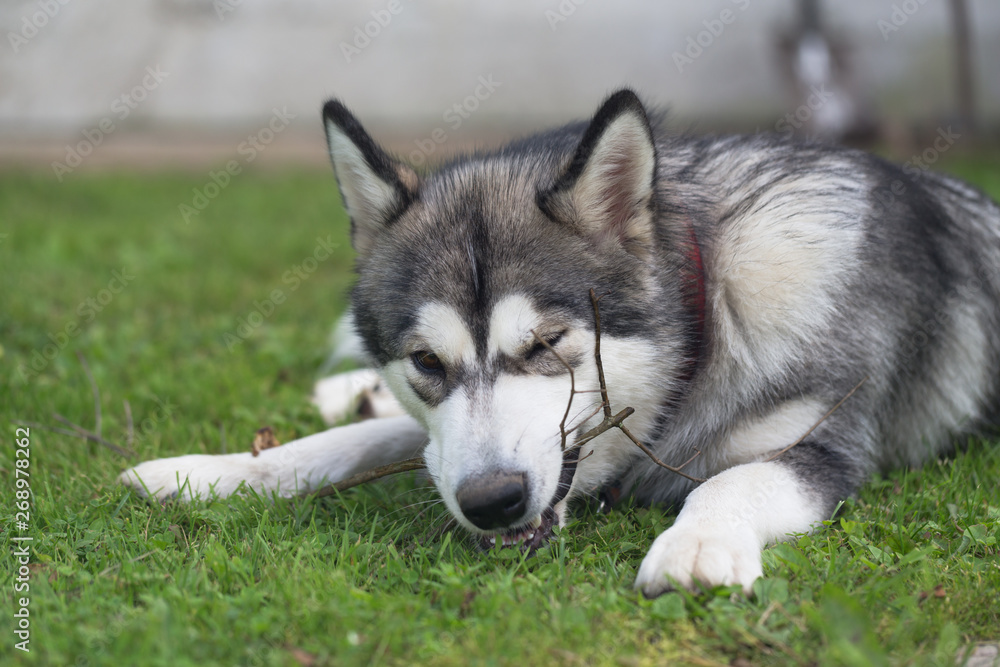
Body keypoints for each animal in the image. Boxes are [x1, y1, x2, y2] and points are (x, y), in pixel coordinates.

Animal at [119, 87, 1000, 596]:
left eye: (548, 342)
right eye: (426, 361)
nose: (492, 501)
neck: (706, 325)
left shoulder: (826, 449)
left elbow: (734, 479)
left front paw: (700, 544)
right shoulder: (446, 439)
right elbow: (354, 441)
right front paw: (210, 472)